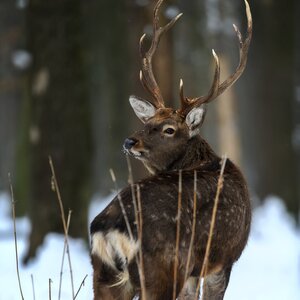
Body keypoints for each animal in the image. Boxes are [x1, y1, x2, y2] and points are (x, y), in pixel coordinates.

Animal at [90, 0, 252, 298]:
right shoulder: (223, 258)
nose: (130, 141)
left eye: (169, 129)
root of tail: (108, 229)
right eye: (148, 122)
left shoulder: (196, 271)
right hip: (163, 269)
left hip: (104, 274)